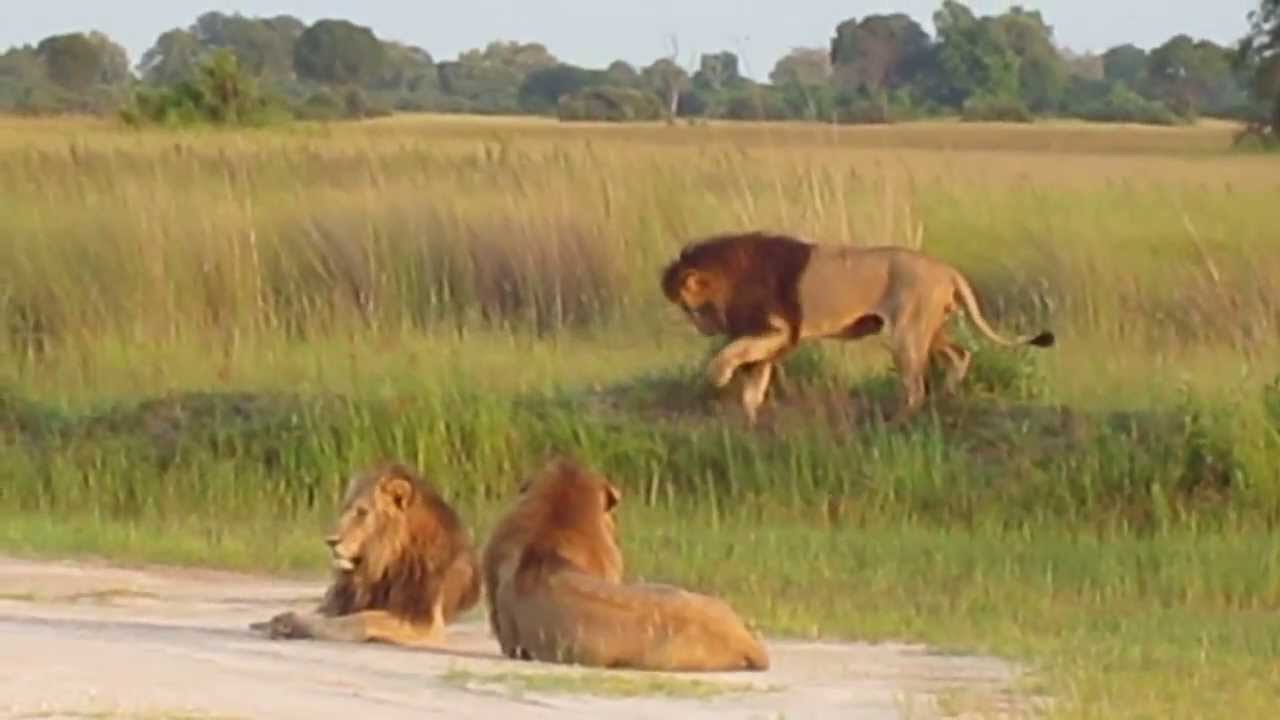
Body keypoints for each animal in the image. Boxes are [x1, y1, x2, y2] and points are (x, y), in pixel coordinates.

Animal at [250, 461, 483, 648]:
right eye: (345, 509)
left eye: (362, 512)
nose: (330, 541)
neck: (381, 565)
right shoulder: (343, 601)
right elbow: (325, 613)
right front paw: (278, 621)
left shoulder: (424, 621)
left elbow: (360, 619)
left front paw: (292, 624)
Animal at [655, 229, 1054, 422]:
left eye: (690, 308)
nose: (702, 329)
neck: (729, 275)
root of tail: (947, 269)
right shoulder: (769, 338)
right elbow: (755, 382)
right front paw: (752, 423)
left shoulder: (779, 330)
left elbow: (732, 354)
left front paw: (717, 376)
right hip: (932, 329)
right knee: (960, 355)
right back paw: (948, 399)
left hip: (907, 333)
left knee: (916, 387)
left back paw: (898, 421)